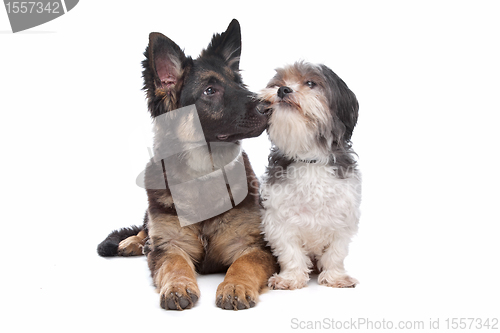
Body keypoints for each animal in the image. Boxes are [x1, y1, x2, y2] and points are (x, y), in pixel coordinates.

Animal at [97, 20, 278, 308]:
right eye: (210, 90)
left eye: (239, 83)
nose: (270, 106)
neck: (203, 174)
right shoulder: (171, 245)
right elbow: (174, 263)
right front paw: (178, 286)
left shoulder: (252, 246)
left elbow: (244, 264)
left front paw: (235, 286)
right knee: (145, 228)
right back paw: (133, 242)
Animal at [260, 61, 362, 288]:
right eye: (279, 83)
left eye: (310, 83)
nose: (283, 90)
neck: (310, 160)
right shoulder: (279, 221)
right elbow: (290, 252)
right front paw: (291, 277)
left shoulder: (342, 218)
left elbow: (335, 253)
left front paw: (335, 277)